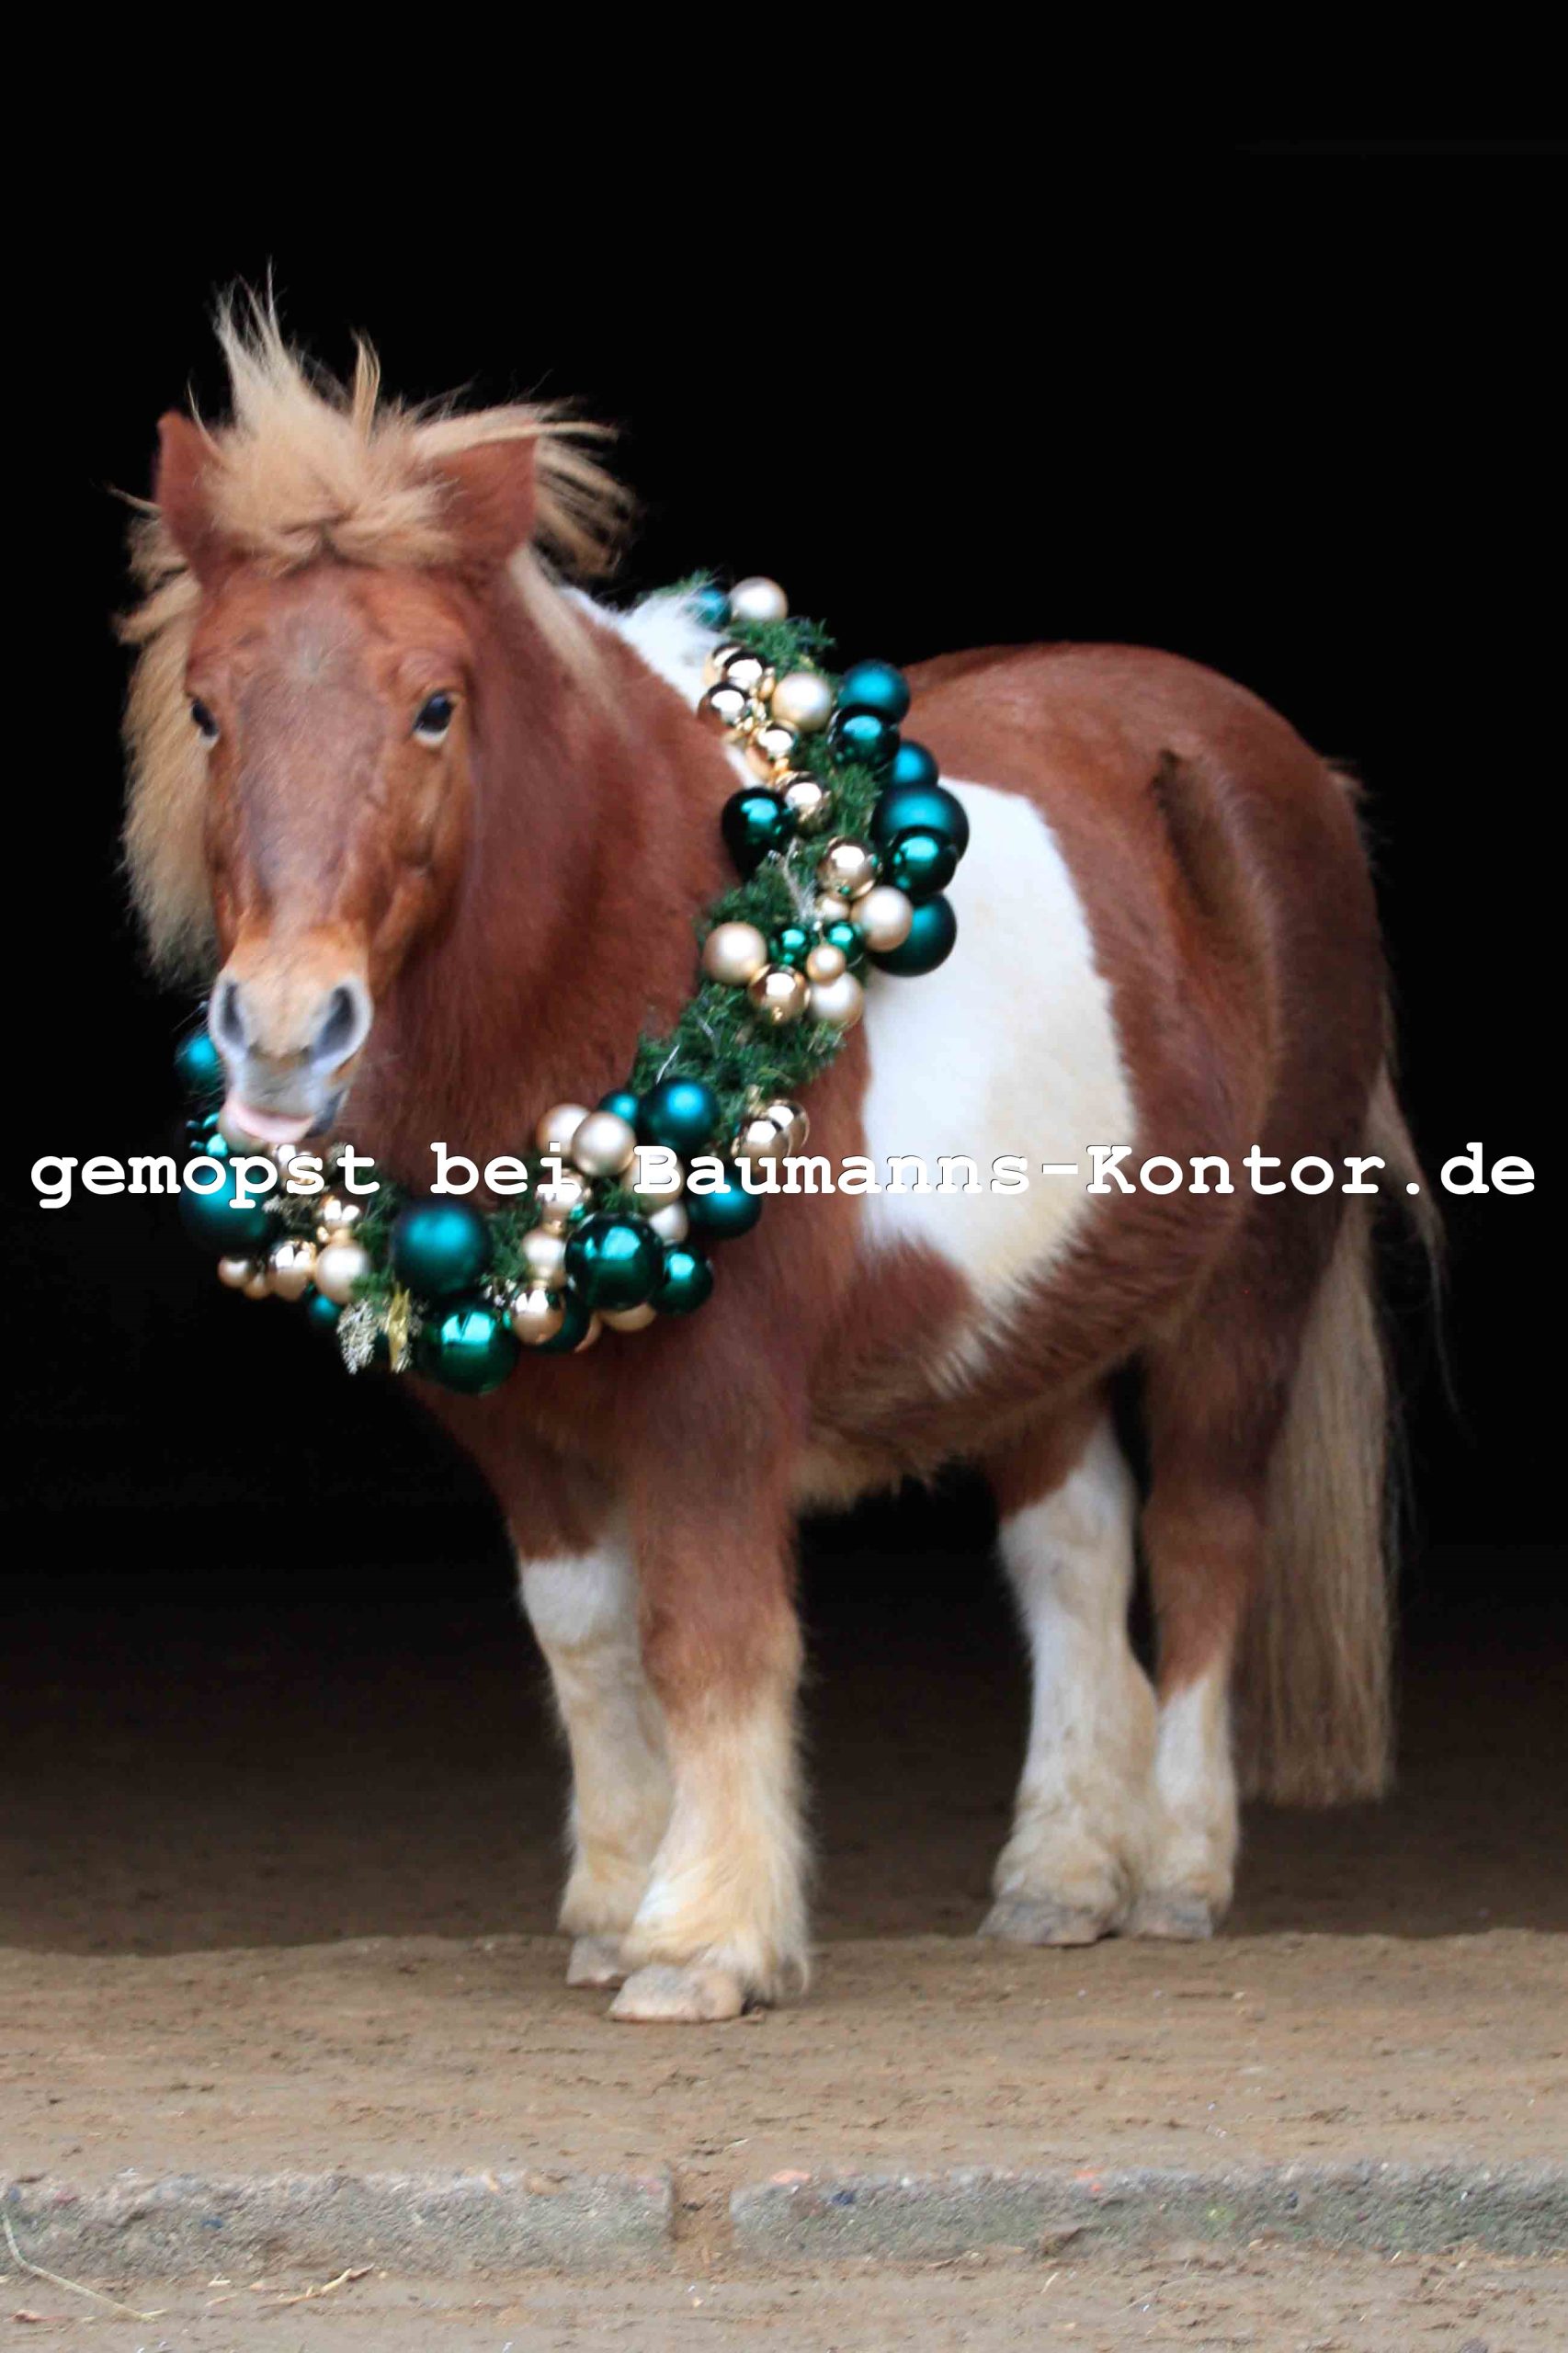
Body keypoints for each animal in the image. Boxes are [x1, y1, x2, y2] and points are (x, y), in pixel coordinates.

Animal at [122, 311, 1431, 2022]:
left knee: (1203, 1536)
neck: (626, 928)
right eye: (208, 708)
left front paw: (703, 1943)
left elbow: (709, 1636)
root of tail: (1264, 760)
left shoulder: (718, 1394)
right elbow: (587, 1642)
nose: (286, 1034)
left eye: (435, 706)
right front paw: (614, 1905)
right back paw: (1060, 1876)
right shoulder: (517, 1425)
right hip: (1033, 1310)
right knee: (1072, 1551)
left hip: (1251, 1284)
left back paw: (1176, 1871)